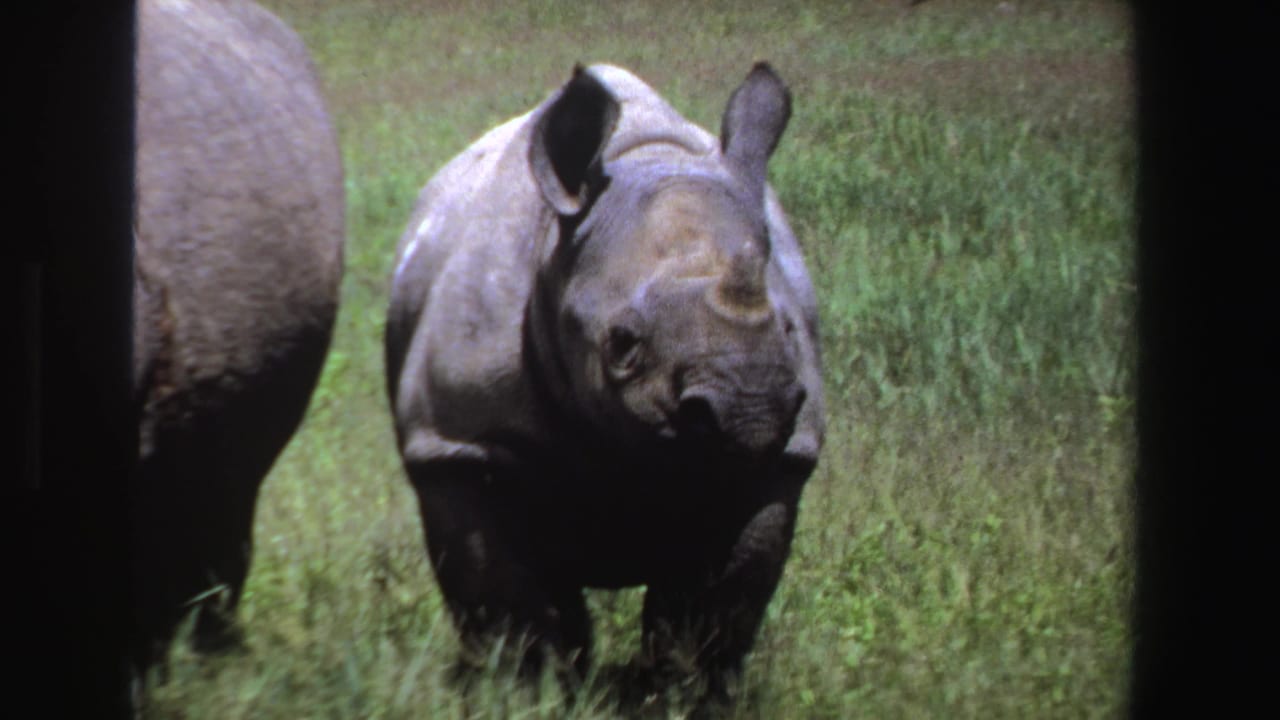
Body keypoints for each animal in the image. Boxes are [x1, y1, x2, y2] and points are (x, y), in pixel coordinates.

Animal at [385, 63, 824, 696]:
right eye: (622, 343)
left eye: (788, 329)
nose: (750, 408)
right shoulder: (459, 444)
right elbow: (509, 605)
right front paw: (527, 696)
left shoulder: (778, 458)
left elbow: (711, 612)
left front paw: (685, 696)